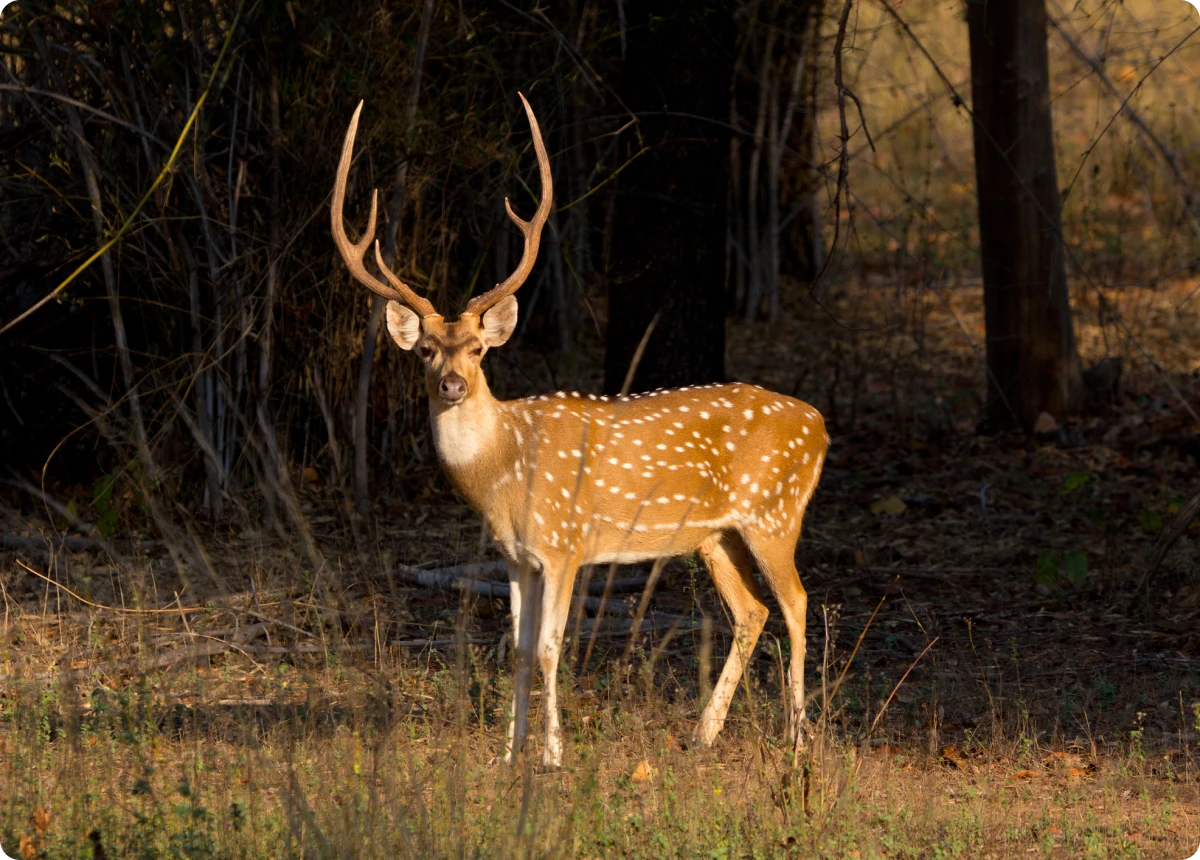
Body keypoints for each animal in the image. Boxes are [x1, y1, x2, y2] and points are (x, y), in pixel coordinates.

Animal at [331, 94, 828, 769]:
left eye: (479, 351)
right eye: (426, 351)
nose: (452, 385)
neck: (503, 469)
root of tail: (821, 425)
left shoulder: (563, 544)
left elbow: (548, 648)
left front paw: (551, 755)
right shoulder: (515, 558)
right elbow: (516, 650)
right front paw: (508, 755)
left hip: (775, 513)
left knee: (797, 601)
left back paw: (797, 738)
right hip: (715, 534)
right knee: (751, 610)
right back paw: (703, 734)